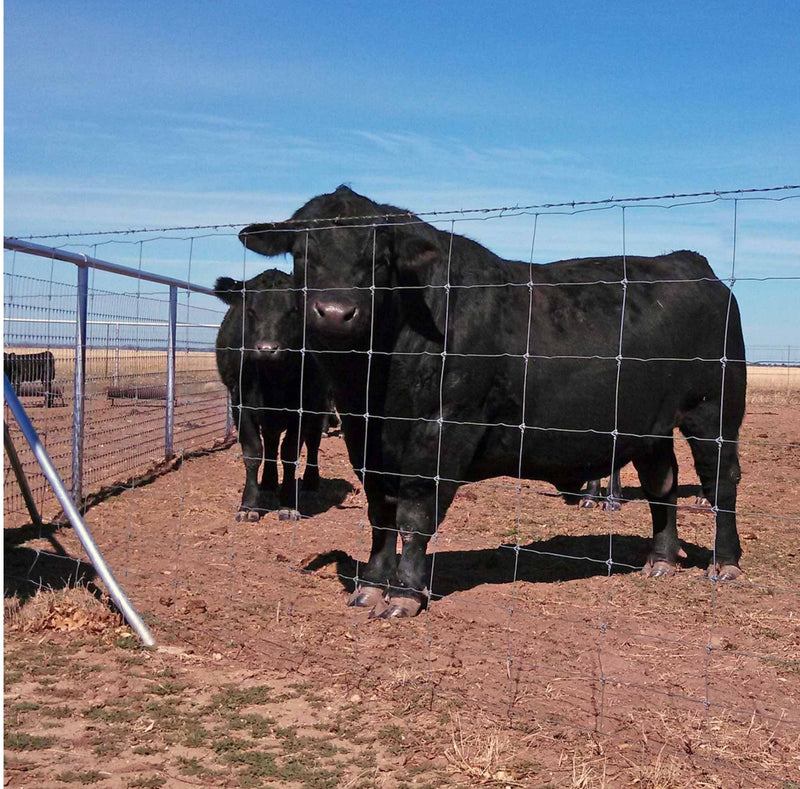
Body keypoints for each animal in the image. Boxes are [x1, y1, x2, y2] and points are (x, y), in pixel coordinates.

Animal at [214, 269, 330, 521]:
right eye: (250, 311)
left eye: (294, 311)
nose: (267, 349)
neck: (273, 380)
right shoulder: (240, 405)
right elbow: (253, 452)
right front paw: (249, 505)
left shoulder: (304, 407)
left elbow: (290, 452)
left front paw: (287, 503)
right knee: (270, 442)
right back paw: (267, 484)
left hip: (321, 404)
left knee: (313, 442)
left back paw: (310, 485)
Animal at [239, 186, 747, 617]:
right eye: (303, 254)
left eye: (380, 259)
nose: (336, 313)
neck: (373, 381)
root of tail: (688, 262)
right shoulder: (364, 437)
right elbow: (381, 513)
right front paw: (371, 586)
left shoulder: (444, 429)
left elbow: (415, 512)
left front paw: (405, 593)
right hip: (651, 424)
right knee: (662, 481)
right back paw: (661, 559)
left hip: (715, 411)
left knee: (720, 482)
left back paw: (725, 563)